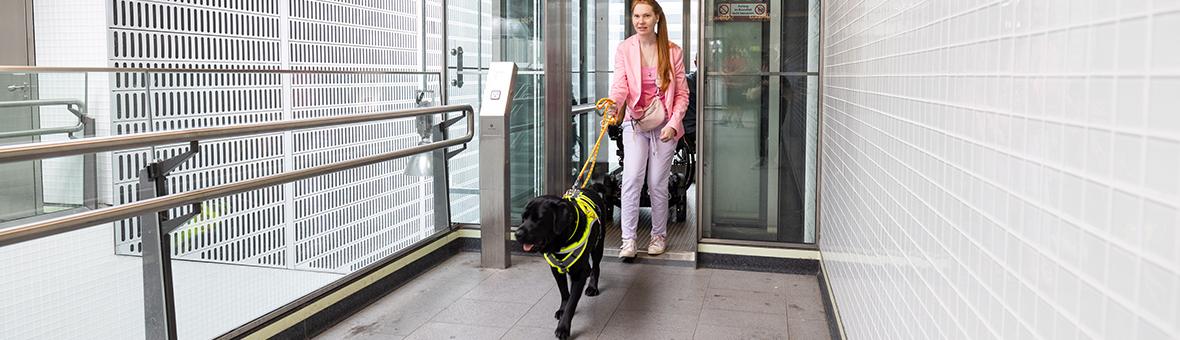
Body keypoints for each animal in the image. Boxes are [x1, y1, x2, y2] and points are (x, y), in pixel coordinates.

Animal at [514, 186, 608, 340]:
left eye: (538, 219)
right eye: (524, 217)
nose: (517, 234)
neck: (562, 242)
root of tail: (589, 188)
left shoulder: (578, 275)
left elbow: (572, 302)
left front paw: (563, 327)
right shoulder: (556, 270)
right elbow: (564, 293)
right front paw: (562, 309)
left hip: (598, 244)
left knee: (596, 267)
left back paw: (592, 287)